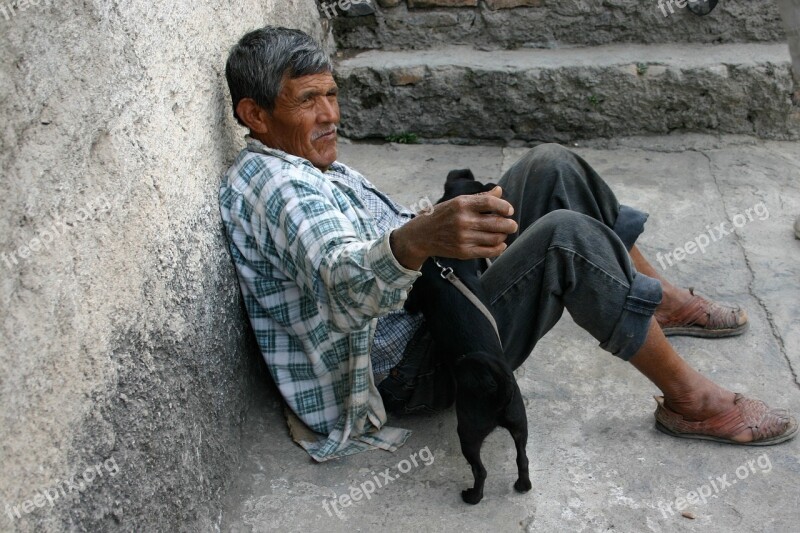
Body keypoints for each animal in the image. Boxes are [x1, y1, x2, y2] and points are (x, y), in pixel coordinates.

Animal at [406, 169, 532, 502]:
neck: (448, 260)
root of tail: (500, 392)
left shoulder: (417, 294)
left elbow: (410, 302)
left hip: (469, 431)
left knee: (481, 470)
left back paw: (472, 496)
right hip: (520, 424)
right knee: (523, 459)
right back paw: (522, 485)